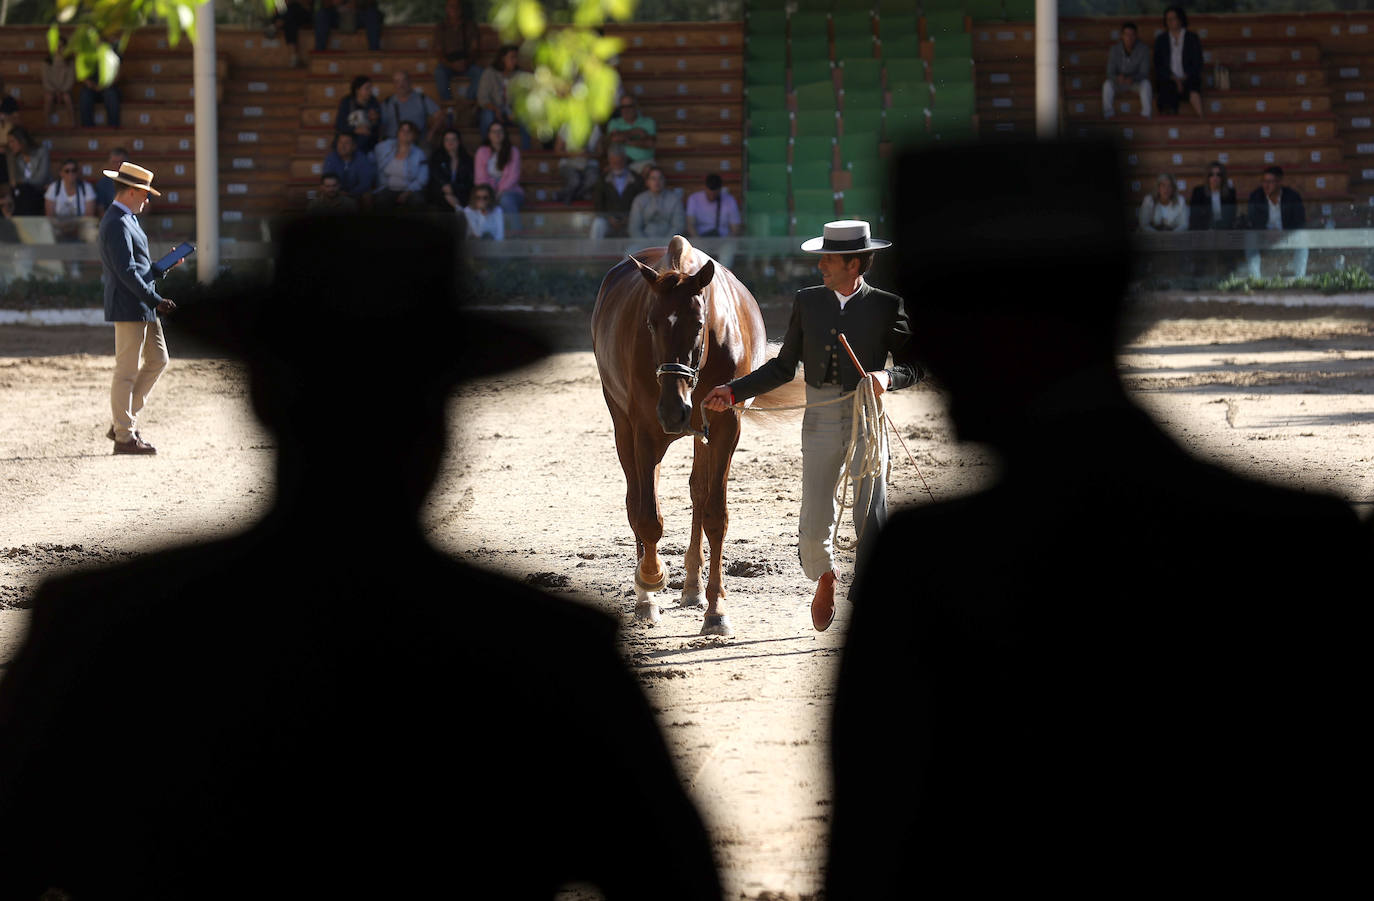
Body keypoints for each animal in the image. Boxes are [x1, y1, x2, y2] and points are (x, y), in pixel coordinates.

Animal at [588, 236, 769, 637]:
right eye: (651, 324)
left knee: (697, 492)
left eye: (699, 323)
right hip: (624, 426)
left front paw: (716, 610)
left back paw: (693, 589)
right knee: (636, 499)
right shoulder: (644, 432)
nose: (674, 411)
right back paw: (646, 598)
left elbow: (715, 514)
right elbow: (646, 515)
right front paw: (651, 578)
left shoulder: (724, 429)